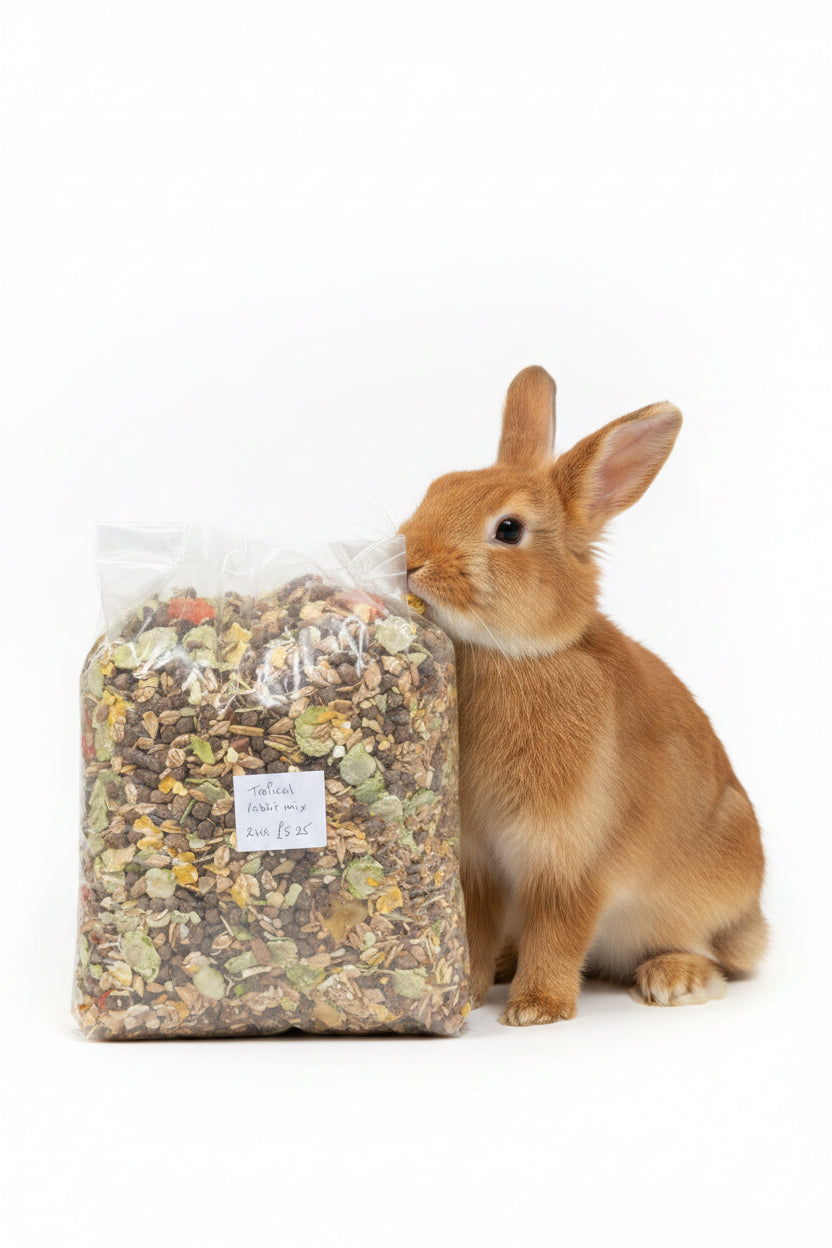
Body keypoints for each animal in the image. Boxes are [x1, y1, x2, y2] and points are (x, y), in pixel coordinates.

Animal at [398, 365, 767, 1026]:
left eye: (509, 529)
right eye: (438, 489)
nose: (410, 559)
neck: (520, 653)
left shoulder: (570, 860)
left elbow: (559, 931)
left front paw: (535, 1010)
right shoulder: (478, 863)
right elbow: (477, 928)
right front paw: (466, 994)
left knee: (717, 956)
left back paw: (674, 979)